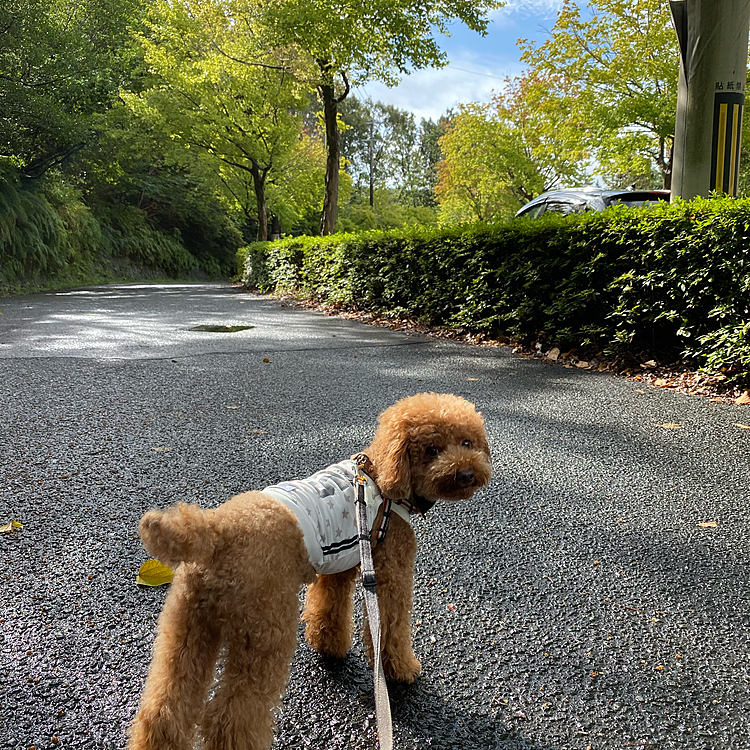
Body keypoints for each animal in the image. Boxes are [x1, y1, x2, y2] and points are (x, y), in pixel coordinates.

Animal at [129, 394, 494, 750]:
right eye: (432, 449)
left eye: (467, 442)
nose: (466, 473)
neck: (381, 478)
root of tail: (214, 531)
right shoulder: (390, 570)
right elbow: (391, 626)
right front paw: (401, 669)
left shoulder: (337, 565)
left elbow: (329, 607)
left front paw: (328, 645)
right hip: (264, 630)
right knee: (230, 718)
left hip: (188, 624)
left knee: (164, 709)